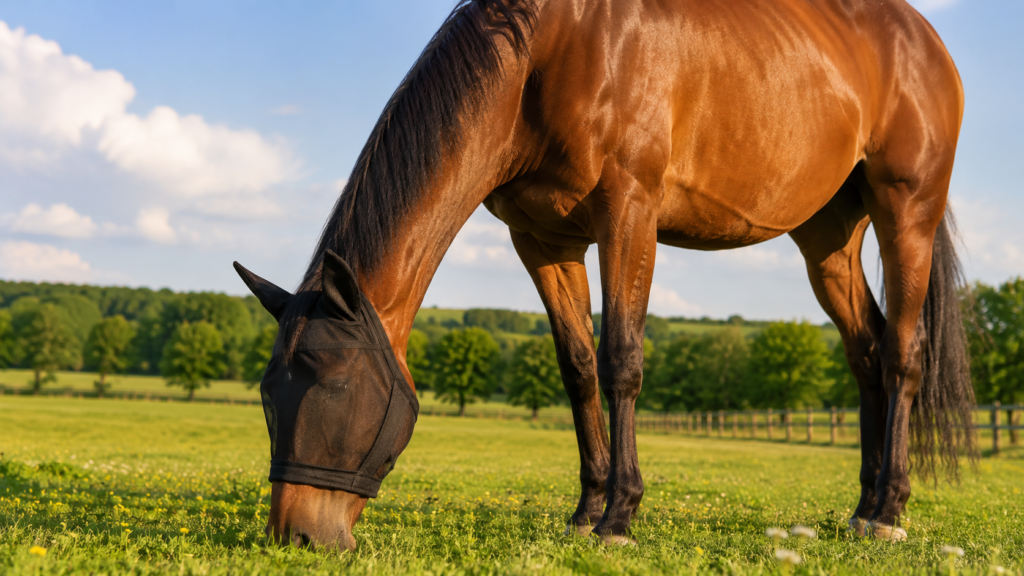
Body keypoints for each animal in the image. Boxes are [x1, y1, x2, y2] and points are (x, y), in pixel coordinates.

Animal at [233, 0, 976, 550]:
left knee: (903, 354)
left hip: (905, 211)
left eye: (332, 383)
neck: (549, 55)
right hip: (827, 238)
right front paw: (586, 510)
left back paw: (889, 511)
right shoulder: (543, 240)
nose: (294, 537)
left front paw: (619, 518)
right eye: (268, 392)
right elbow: (579, 366)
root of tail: (926, 41)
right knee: (866, 352)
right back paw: (862, 506)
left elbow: (622, 359)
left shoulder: (629, 214)